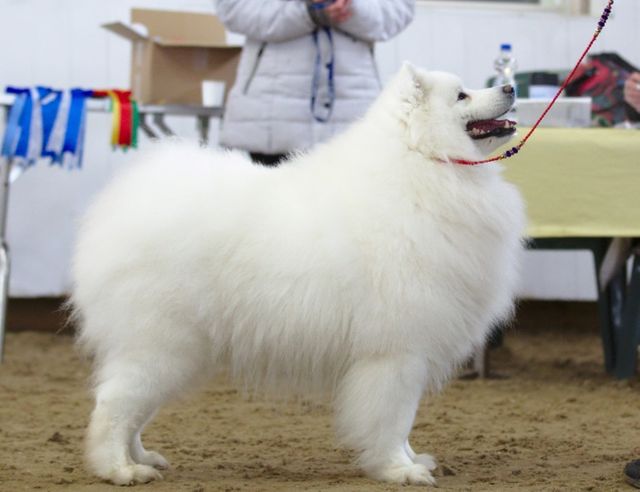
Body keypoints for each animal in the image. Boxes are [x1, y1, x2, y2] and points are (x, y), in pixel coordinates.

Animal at [71, 63, 524, 486]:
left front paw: (412, 460)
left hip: (174, 353)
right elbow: (393, 419)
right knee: (113, 406)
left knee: (133, 410)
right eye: (462, 95)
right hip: (161, 347)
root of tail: (123, 204)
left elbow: (402, 421)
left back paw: (142, 458)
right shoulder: (397, 352)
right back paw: (120, 469)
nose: (509, 86)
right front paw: (398, 469)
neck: (422, 160)